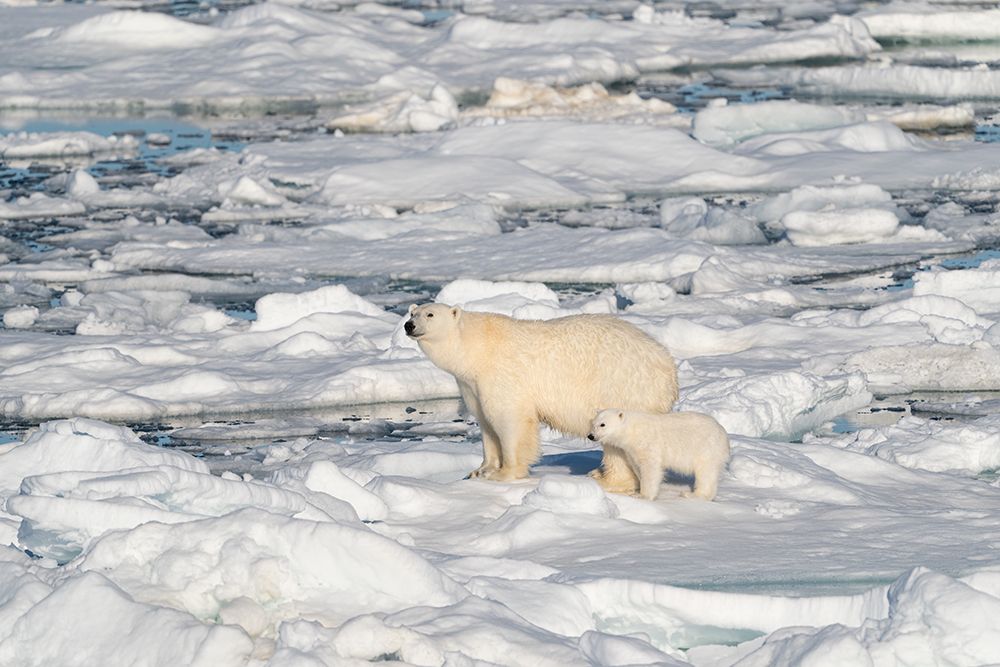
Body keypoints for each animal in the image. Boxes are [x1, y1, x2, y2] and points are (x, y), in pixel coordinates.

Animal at [405, 303, 678, 486]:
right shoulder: (471, 384)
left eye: (430, 314)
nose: (409, 325)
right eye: (412, 313)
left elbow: (509, 419)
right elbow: (486, 423)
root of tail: (668, 369)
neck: (478, 348)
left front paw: (505, 473)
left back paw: (606, 478)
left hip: (624, 386)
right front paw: (480, 471)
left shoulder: (502, 375)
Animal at [587, 409, 730, 501]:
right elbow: (637, 467)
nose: (591, 436)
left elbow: (650, 468)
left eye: (603, 424)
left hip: (705, 448)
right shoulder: (631, 451)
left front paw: (642, 496)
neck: (632, 429)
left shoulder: (647, 443)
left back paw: (693, 495)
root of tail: (723, 432)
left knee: (705, 473)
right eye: (593, 424)